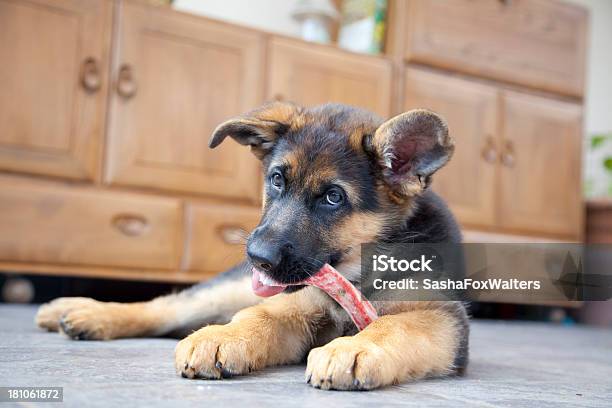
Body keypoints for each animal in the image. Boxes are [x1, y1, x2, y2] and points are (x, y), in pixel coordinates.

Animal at [35, 101, 468, 388]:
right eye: (277, 179)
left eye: (333, 197)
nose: (257, 258)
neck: (360, 270)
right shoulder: (296, 307)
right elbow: (258, 317)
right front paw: (222, 338)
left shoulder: (442, 318)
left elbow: (395, 327)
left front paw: (353, 348)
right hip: (228, 291)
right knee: (166, 307)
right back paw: (80, 311)